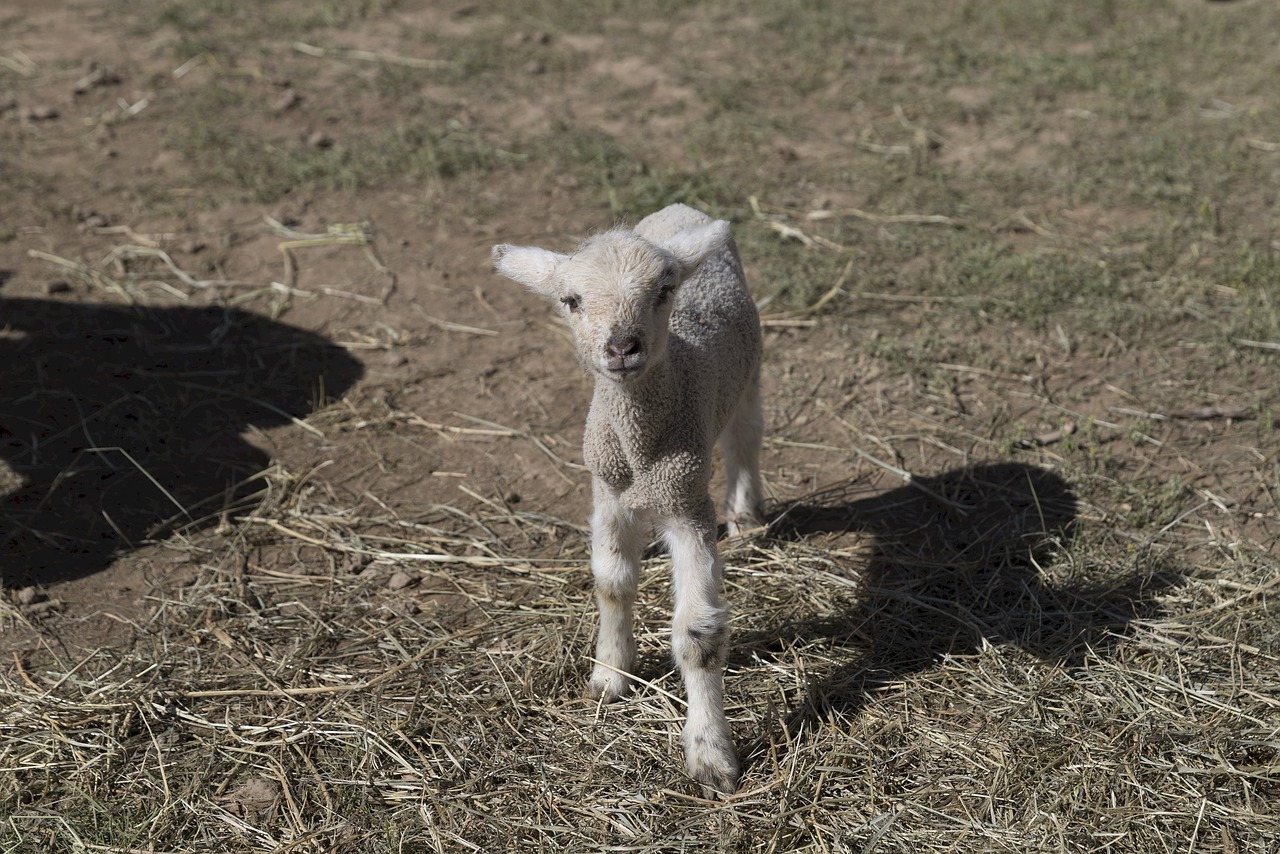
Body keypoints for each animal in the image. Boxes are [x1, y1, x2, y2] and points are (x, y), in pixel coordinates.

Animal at [491, 203, 762, 798]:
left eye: (663, 290)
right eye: (571, 300)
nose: (620, 349)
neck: (641, 449)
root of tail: (681, 209)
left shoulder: (687, 505)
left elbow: (698, 635)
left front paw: (711, 756)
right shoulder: (608, 495)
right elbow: (612, 585)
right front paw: (610, 676)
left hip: (751, 371)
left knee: (745, 438)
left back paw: (748, 516)